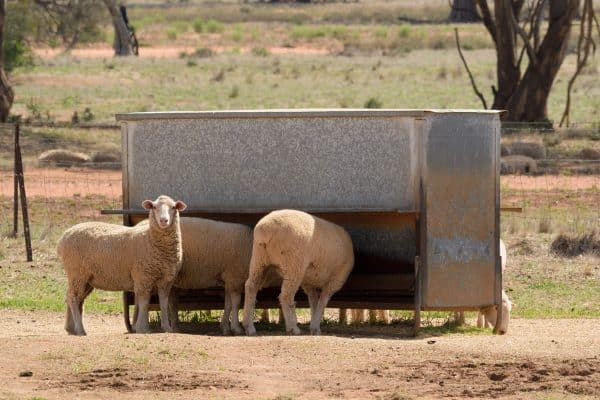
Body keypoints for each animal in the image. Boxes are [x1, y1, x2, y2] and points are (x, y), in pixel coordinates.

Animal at [59, 195, 186, 336]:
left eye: (173, 207)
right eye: (154, 207)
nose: (164, 220)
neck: (149, 238)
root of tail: (64, 235)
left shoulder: (166, 279)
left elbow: (163, 302)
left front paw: (166, 328)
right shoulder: (143, 277)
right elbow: (144, 302)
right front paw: (143, 328)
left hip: (85, 278)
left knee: (74, 298)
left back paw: (70, 329)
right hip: (77, 273)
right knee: (73, 298)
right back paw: (80, 330)